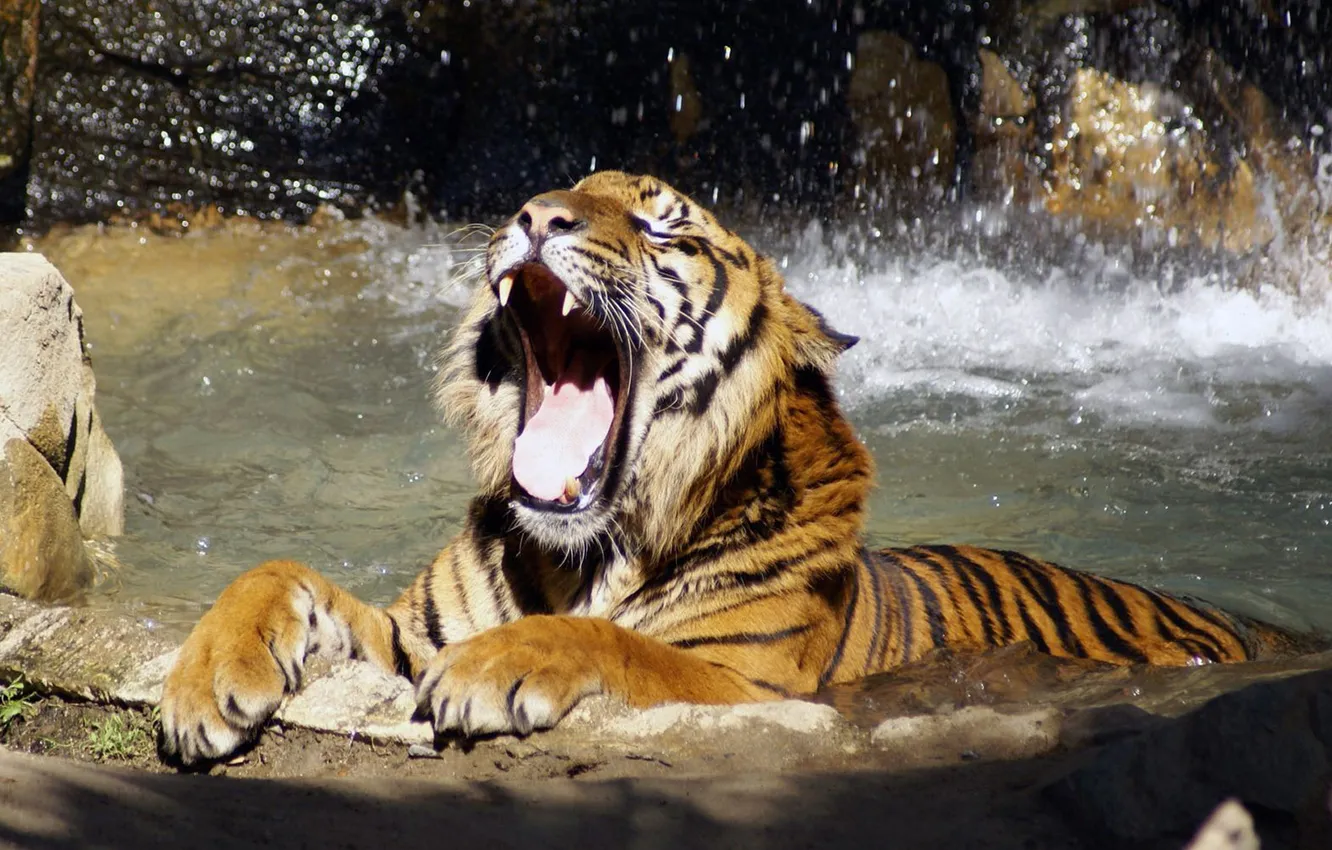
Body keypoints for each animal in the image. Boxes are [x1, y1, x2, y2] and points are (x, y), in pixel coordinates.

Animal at [158, 170, 1306, 765]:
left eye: (659, 219)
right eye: (559, 188)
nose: (535, 216)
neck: (585, 553)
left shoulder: (749, 682)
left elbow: (618, 643)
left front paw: (498, 670)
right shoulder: (409, 634)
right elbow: (274, 572)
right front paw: (205, 683)